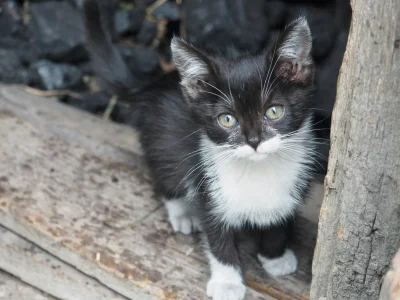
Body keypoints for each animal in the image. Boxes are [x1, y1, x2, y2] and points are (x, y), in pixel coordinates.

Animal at [83, 1, 316, 298]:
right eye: (227, 119)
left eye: (274, 111)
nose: (254, 141)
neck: (257, 170)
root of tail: (153, 85)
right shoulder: (208, 186)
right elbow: (217, 238)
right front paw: (227, 283)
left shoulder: (291, 188)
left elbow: (278, 221)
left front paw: (275, 256)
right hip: (162, 142)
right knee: (166, 177)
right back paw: (182, 212)